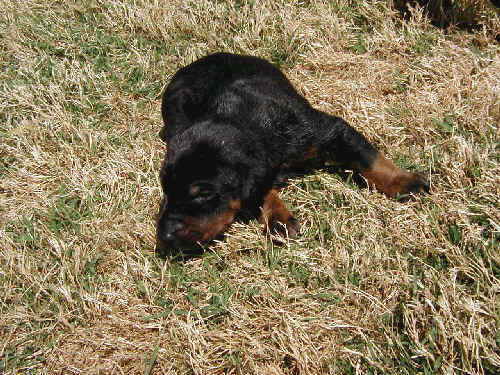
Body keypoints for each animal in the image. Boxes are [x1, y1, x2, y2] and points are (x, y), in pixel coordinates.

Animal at [157, 53, 430, 251]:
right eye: (166, 189)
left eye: (203, 194)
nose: (164, 237)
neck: (245, 119)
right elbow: (261, 191)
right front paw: (278, 219)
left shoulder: (330, 130)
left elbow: (370, 158)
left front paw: (405, 182)